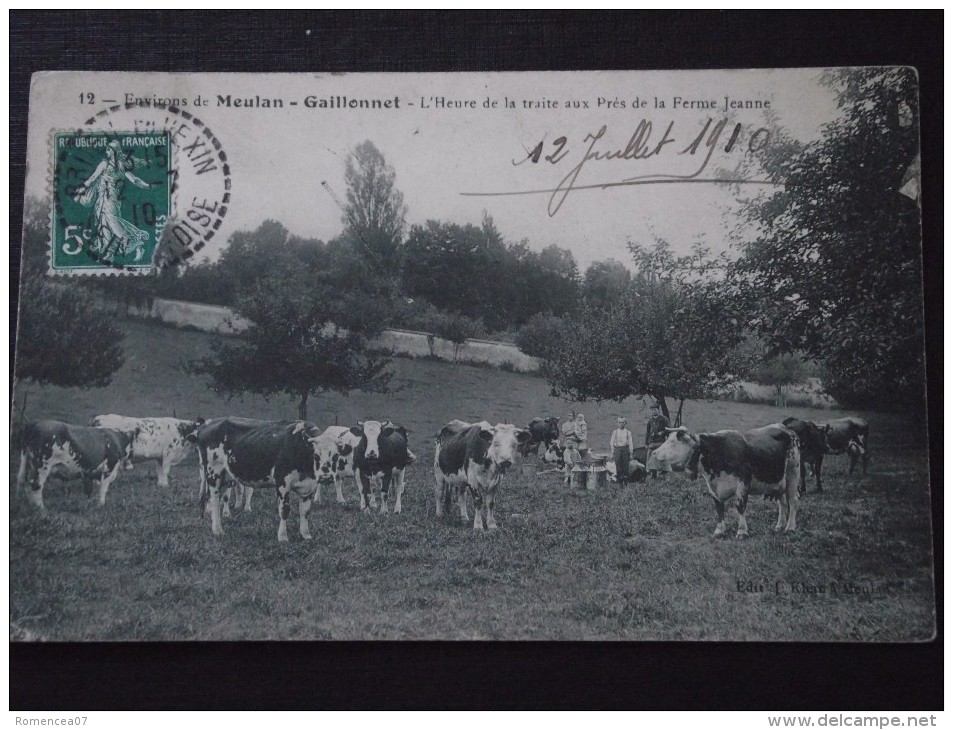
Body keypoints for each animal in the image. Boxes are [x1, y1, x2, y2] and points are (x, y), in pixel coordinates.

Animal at [193, 416, 328, 540]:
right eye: (316, 454)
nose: (326, 475)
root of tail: (205, 425)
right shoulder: (282, 482)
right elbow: (284, 510)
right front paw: (282, 537)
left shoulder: (308, 486)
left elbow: (305, 512)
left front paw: (306, 535)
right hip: (213, 473)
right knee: (214, 501)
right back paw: (217, 531)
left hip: (225, 478)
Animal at [652, 424, 800, 536]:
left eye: (672, 442)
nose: (654, 453)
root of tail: (786, 428)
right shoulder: (713, 487)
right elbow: (719, 508)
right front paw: (719, 530)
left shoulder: (742, 483)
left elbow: (740, 506)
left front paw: (742, 531)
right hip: (778, 482)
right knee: (782, 502)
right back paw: (779, 525)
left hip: (793, 473)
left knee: (792, 501)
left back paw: (790, 527)